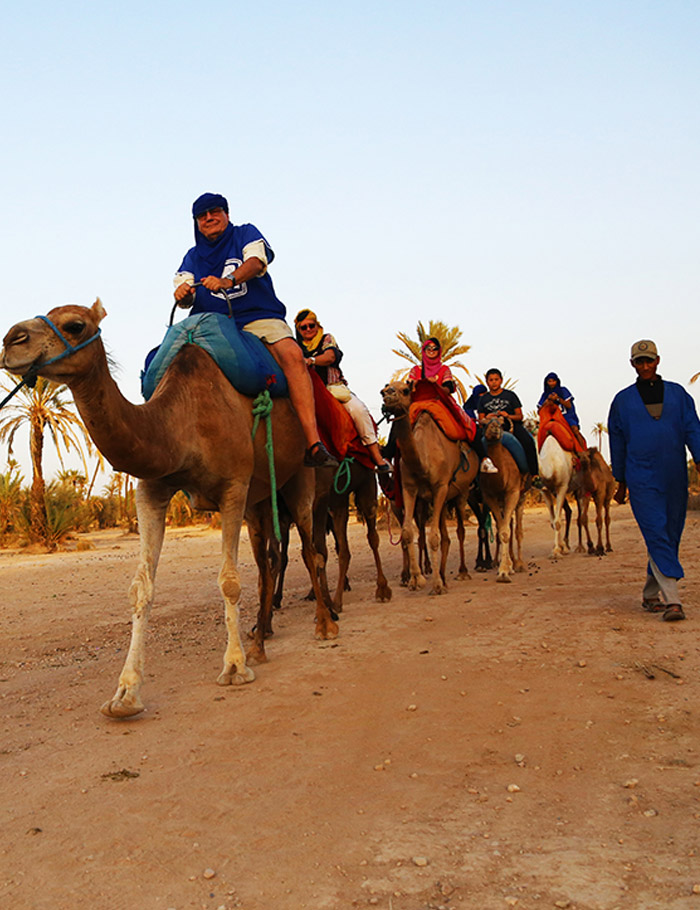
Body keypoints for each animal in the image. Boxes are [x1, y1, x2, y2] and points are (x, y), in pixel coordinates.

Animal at [0, 302, 340, 716]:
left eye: (75, 325)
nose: (11, 340)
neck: (183, 423)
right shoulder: (151, 489)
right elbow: (141, 587)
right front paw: (125, 693)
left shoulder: (234, 486)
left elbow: (229, 580)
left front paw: (234, 667)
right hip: (260, 499)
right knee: (268, 563)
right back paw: (259, 643)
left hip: (299, 477)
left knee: (310, 548)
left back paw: (325, 625)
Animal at [380, 382, 478, 596]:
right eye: (384, 389)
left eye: (405, 390)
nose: (387, 395)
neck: (422, 462)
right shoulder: (409, 489)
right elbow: (408, 533)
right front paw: (416, 580)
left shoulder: (440, 487)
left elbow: (434, 537)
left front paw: (436, 585)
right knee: (444, 536)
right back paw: (442, 576)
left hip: (461, 493)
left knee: (459, 530)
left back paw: (462, 572)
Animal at [478, 416, 528, 580]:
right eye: (484, 421)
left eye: (500, 420)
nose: (495, 427)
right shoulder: (490, 496)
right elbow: (501, 531)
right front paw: (504, 568)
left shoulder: (512, 492)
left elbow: (506, 532)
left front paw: (505, 571)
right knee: (507, 525)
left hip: (521, 496)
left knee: (518, 529)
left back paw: (520, 564)